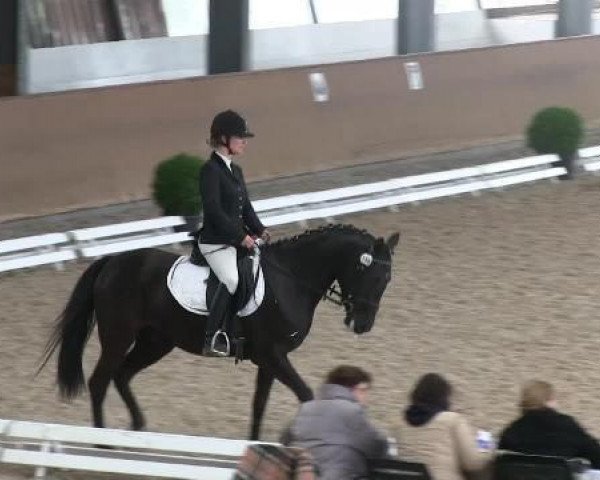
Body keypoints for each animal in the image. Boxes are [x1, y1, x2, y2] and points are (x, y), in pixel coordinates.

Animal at [41, 225, 398, 438]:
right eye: (367, 273)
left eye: (387, 280)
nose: (362, 324)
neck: (291, 280)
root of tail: (113, 261)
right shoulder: (273, 355)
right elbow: (306, 395)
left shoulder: (269, 359)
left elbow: (259, 404)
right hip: (118, 337)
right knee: (100, 381)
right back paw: (102, 445)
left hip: (156, 341)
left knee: (122, 375)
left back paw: (137, 429)